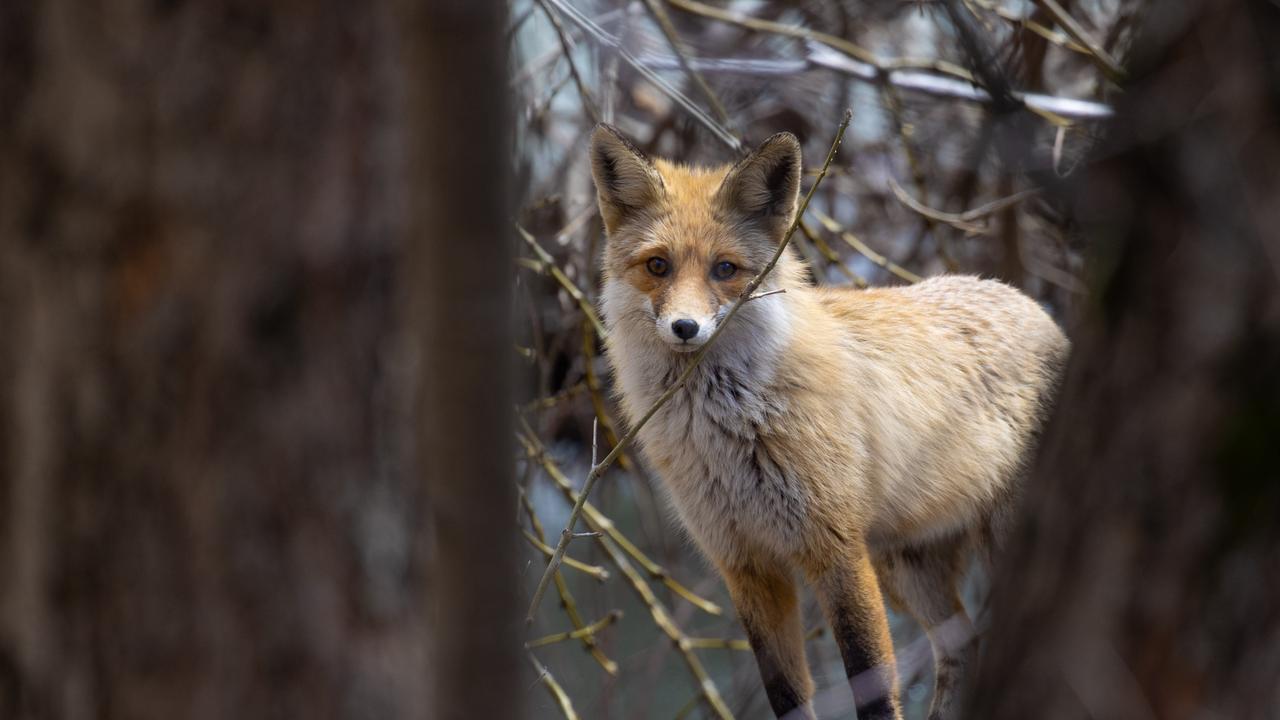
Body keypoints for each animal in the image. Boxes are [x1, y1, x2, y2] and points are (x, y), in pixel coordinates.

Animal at [589, 124, 1069, 720]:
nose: (685, 327)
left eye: (725, 269)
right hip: (906, 568)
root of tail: (1041, 312)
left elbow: (874, 687)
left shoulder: (835, 548)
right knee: (963, 651)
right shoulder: (744, 563)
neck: (730, 433)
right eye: (658, 266)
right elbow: (787, 695)